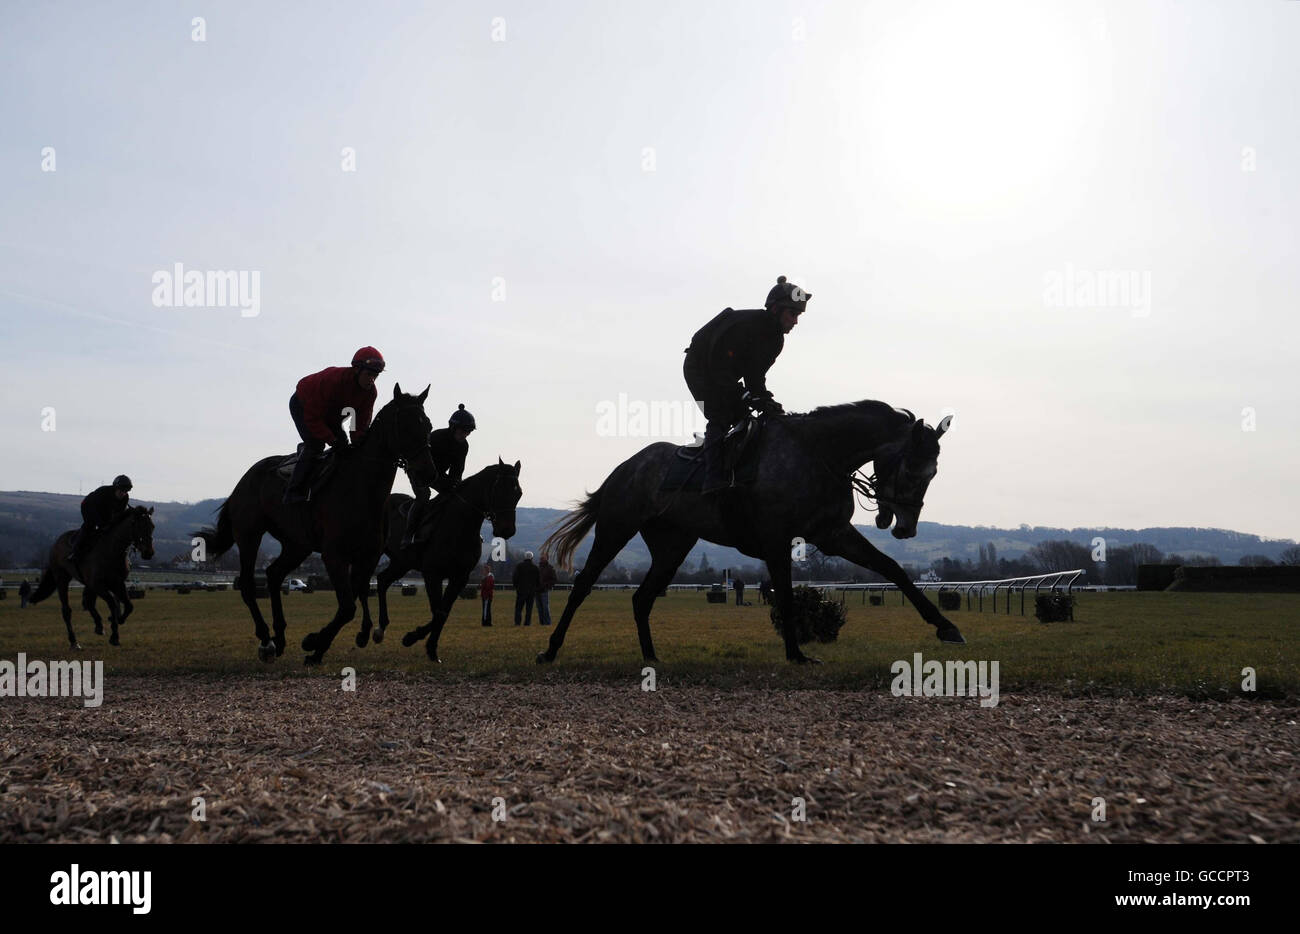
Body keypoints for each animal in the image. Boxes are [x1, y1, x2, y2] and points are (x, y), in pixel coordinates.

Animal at [29, 504, 157, 650]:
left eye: (152, 526)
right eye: (136, 524)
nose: (148, 552)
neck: (112, 550)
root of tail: (56, 543)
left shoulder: (118, 583)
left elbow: (129, 606)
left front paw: (117, 621)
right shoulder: (98, 584)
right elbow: (113, 603)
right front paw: (114, 635)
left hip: (88, 584)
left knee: (89, 602)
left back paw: (99, 625)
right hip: (62, 578)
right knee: (67, 610)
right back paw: (74, 642)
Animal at [195, 385, 441, 666]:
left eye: (428, 425)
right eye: (406, 425)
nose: (429, 473)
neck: (361, 488)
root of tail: (244, 480)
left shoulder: (369, 555)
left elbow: (354, 597)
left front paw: (324, 643)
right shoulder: (333, 554)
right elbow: (347, 607)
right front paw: (315, 643)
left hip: (296, 545)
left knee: (274, 574)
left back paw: (280, 637)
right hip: (249, 535)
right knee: (248, 585)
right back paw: (267, 640)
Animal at [361, 457, 522, 663]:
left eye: (518, 493)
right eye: (499, 490)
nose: (507, 530)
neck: (459, 524)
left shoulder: (459, 577)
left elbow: (443, 613)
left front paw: (429, 647)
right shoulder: (433, 574)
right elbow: (437, 612)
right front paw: (413, 638)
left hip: (402, 562)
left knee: (382, 580)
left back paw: (380, 628)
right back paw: (365, 632)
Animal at [538, 403, 956, 666]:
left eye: (934, 473)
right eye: (914, 469)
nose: (905, 527)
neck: (819, 455)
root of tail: (625, 468)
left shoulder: (833, 534)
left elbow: (892, 568)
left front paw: (946, 626)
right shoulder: (778, 541)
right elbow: (785, 596)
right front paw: (797, 654)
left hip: (672, 547)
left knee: (642, 599)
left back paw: (651, 656)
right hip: (616, 529)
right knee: (583, 585)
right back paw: (550, 650)